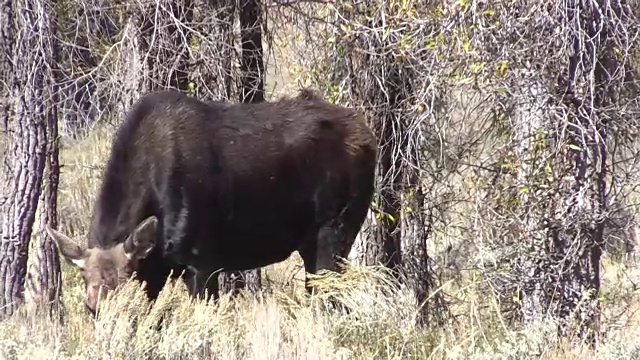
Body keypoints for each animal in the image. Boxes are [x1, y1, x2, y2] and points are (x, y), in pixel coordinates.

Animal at [47, 88, 378, 316]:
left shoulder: (202, 262)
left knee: (329, 297)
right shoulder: (155, 270)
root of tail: (369, 135)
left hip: (336, 229)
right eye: (91, 309)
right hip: (311, 243)